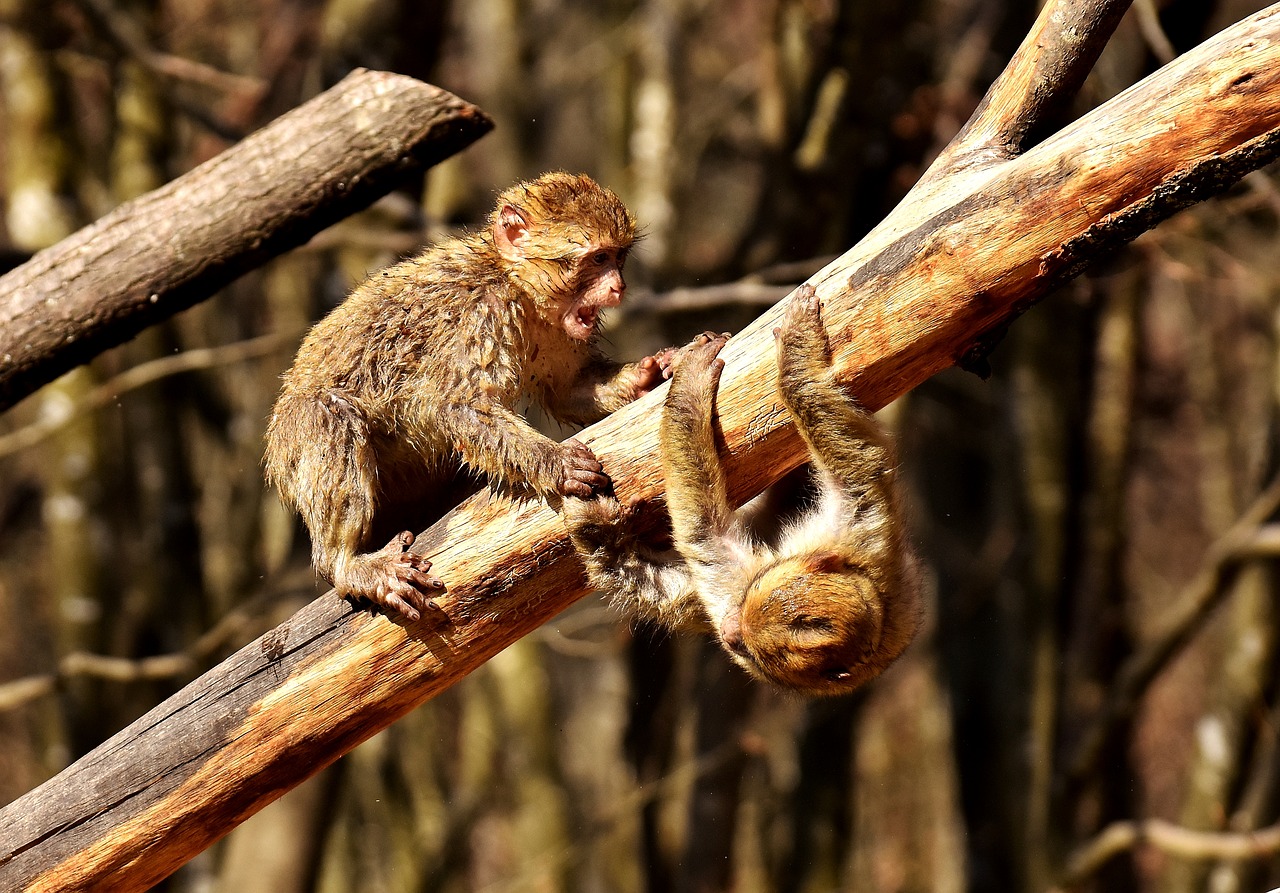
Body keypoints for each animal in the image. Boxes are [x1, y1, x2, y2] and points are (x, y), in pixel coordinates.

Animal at [266, 172, 696, 621]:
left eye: (618, 257)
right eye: (597, 259)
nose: (618, 287)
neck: (514, 284)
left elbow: (569, 389)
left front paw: (651, 374)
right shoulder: (480, 312)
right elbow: (453, 405)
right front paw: (556, 463)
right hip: (292, 440)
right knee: (326, 414)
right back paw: (345, 562)